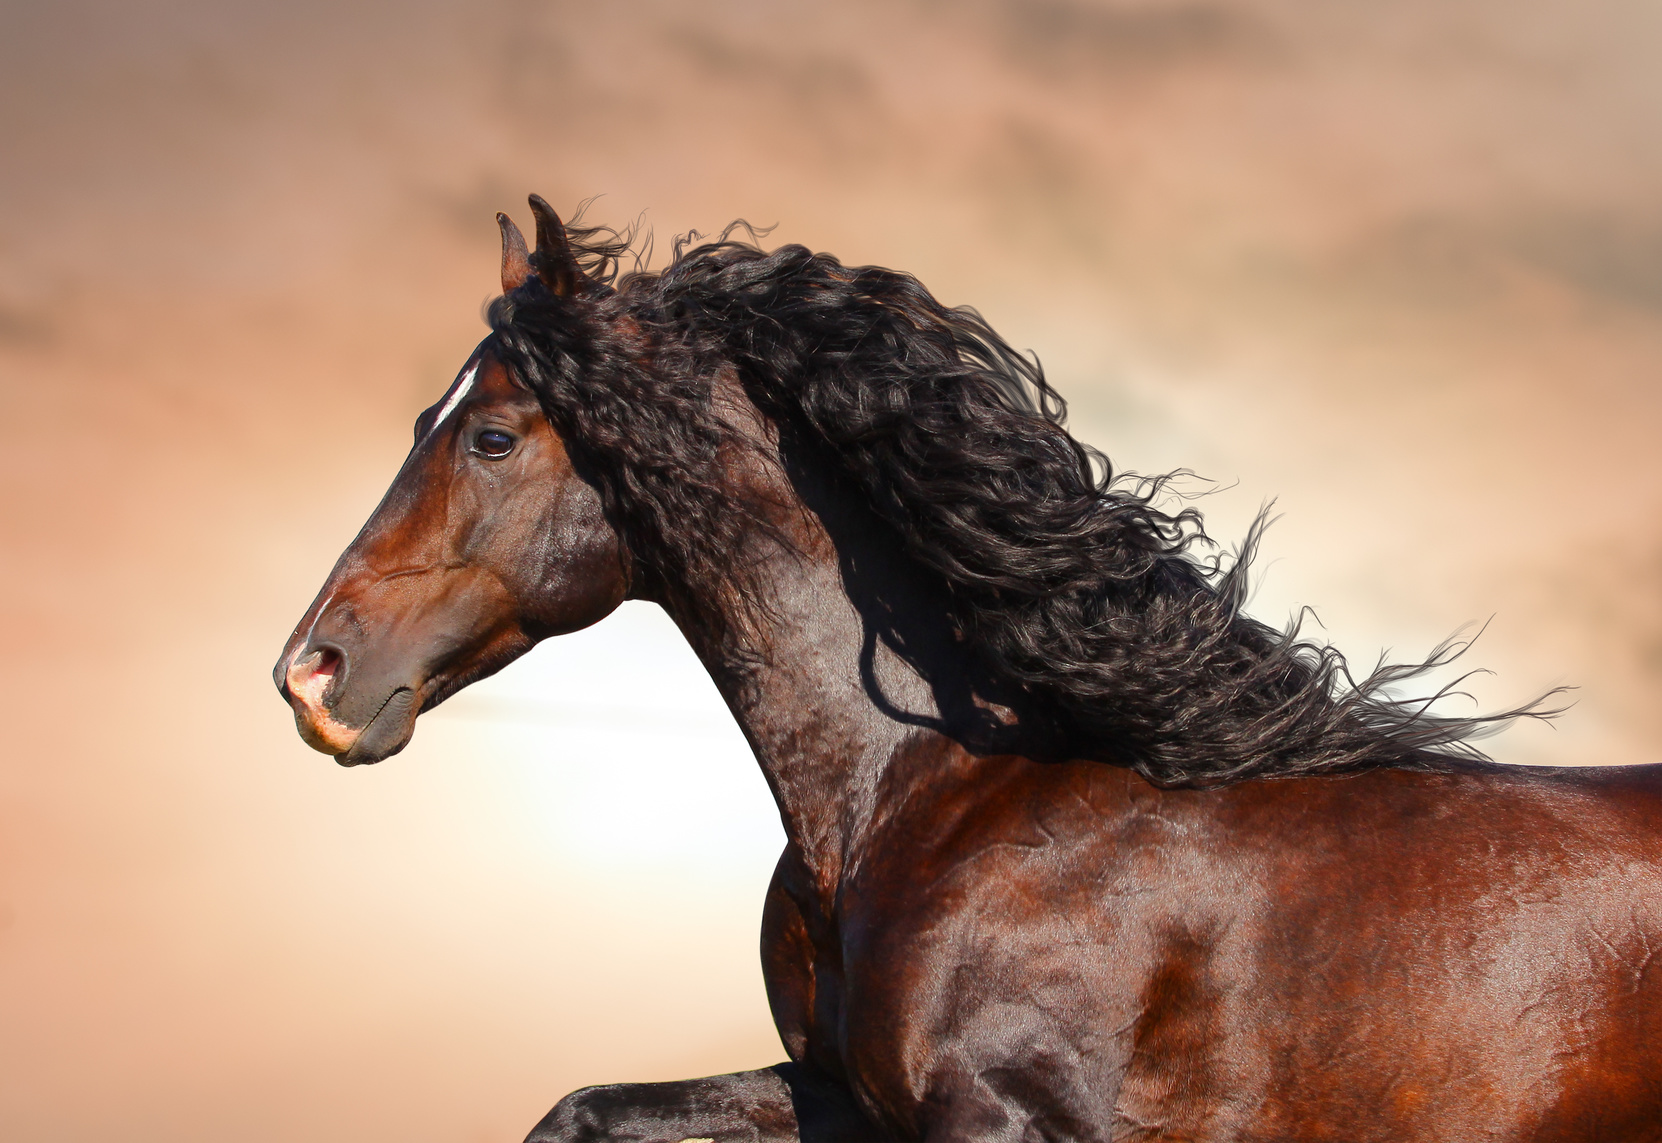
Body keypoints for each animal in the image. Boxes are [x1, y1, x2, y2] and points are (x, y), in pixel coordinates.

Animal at [275, 197, 1662, 1142]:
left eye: (494, 437)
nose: (312, 677)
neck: (929, 788)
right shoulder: (839, 1097)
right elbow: (578, 1108)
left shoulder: (994, 1116)